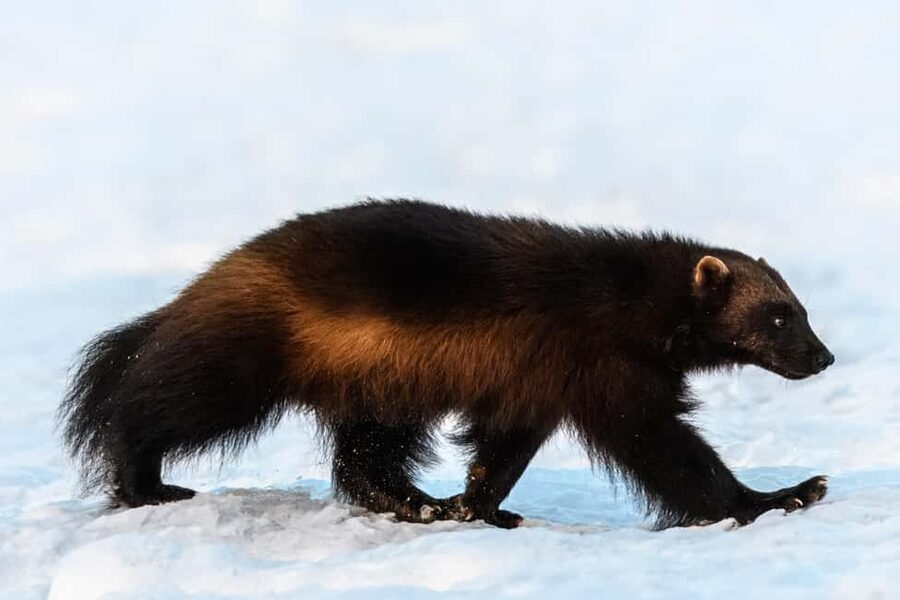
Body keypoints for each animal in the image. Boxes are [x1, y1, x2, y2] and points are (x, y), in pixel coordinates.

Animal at [60, 199, 834, 529]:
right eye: (779, 315)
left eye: (800, 306)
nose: (824, 356)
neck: (629, 297)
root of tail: (209, 279)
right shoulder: (603, 368)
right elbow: (669, 451)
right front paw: (780, 495)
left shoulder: (534, 387)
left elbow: (501, 454)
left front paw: (477, 508)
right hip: (246, 358)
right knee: (155, 402)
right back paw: (144, 482)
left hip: (377, 385)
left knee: (364, 460)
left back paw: (417, 503)